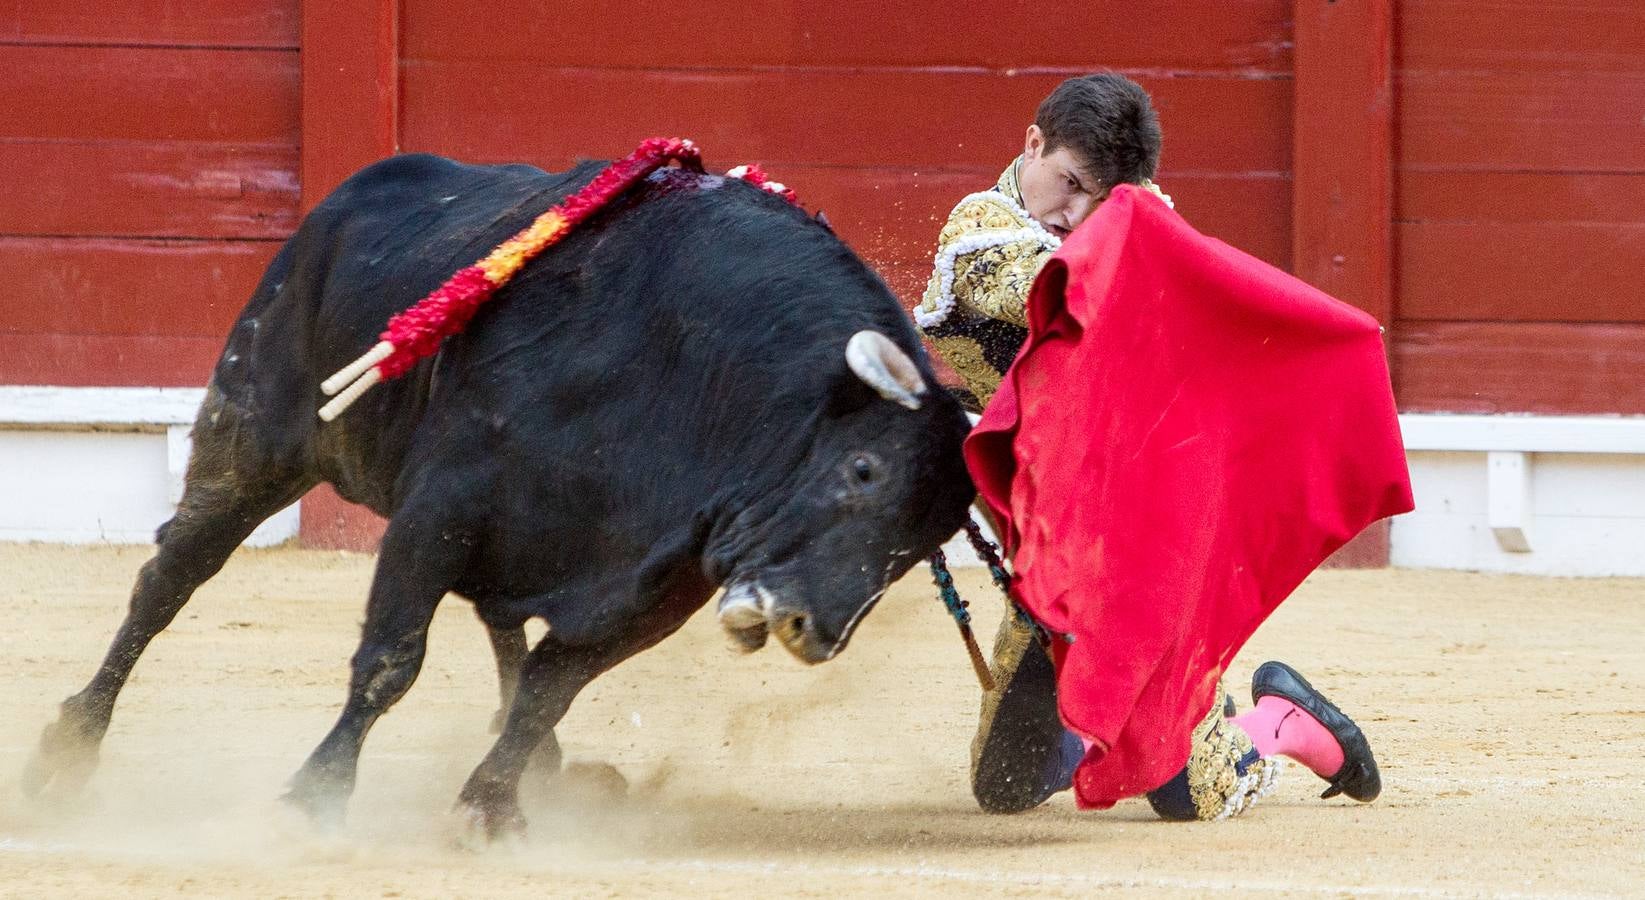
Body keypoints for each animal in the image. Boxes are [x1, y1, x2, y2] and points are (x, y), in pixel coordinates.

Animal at [22, 154, 973, 839]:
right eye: (863, 471)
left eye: (925, 543)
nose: (815, 631)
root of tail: (347, 197)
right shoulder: (438, 512)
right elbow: (391, 662)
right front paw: (314, 796)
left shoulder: (650, 589)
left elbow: (551, 682)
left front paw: (491, 804)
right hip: (249, 435)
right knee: (170, 578)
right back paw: (68, 751)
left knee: (502, 626)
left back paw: (547, 768)